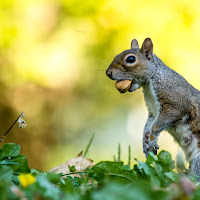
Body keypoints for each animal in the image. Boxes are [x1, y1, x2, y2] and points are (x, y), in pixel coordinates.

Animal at [106, 38, 200, 180]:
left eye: (131, 59)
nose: (108, 73)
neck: (150, 80)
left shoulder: (176, 102)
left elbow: (157, 125)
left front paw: (152, 140)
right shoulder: (153, 112)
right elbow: (148, 125)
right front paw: (145, 143)